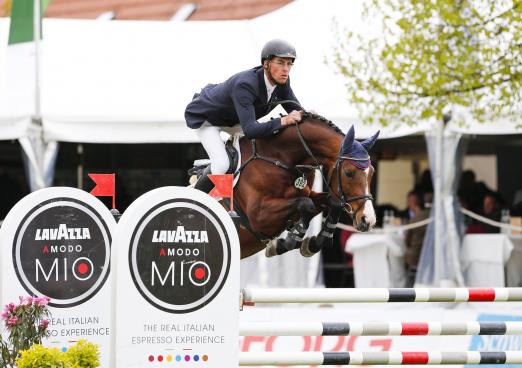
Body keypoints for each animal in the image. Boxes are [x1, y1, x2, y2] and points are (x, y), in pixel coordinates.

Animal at [189, 112, 376, 258]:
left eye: (372, 173)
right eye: (349, 172)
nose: (368, 220)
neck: (279, 158)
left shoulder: (309, 194)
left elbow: (332, 202)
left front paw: (314, 243)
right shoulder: (259, 217)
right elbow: (306, 204)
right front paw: (287, 242)